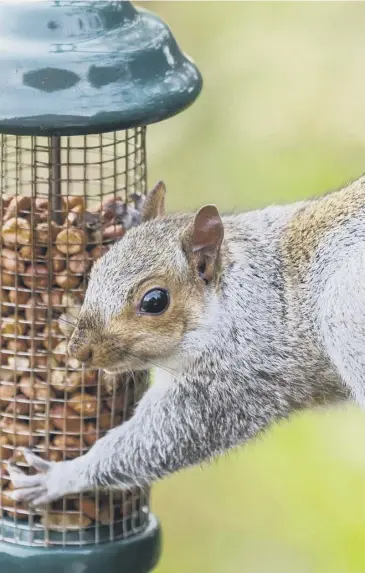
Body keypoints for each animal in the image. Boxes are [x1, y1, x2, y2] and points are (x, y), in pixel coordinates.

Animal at [10, 174, 364, 504]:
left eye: (155, 301)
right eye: (95, 270)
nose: (79, 350)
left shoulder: (238, 379)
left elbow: (169, 438)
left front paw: (61, 477)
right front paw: (134, 214)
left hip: (344, 315)